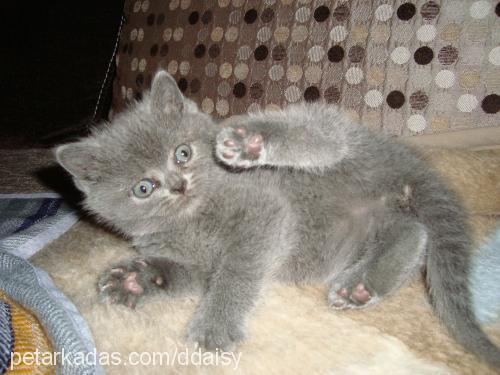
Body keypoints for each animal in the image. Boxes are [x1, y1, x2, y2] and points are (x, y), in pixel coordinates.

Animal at [55, 70, 500, 368]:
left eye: (182, 153)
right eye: (143, 189)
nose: (178, 185)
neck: (191, 219)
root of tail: (402, 165)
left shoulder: (263, 210)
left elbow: (238, 268)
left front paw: (215, 326)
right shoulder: (190, 259)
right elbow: (188, 275)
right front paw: (135, 279)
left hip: (342, 145)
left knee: (327, 138)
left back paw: (250, 141)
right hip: (359, 235)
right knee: (413, 231)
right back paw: (360, 286)